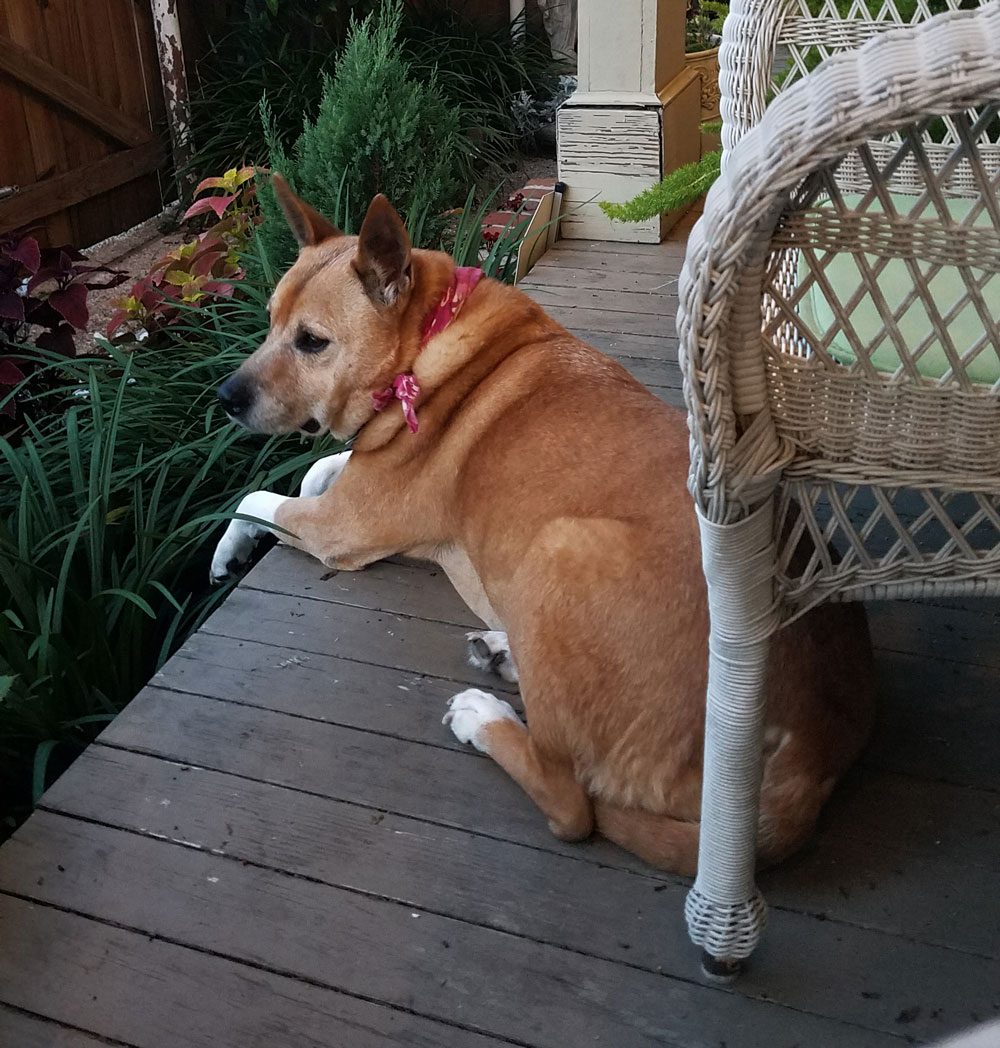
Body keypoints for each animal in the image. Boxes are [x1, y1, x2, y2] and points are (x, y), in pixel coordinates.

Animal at [212, 182, 872, 876]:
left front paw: (229, 543)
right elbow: (316, 470)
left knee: (570, 802)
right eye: (268, 321)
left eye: (312, 342)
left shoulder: (347, 522)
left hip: (555, 550)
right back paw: (502, 654)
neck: (427, 341)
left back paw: (486, 719)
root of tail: (817, 748)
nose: (224, 397)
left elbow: (259, 495)